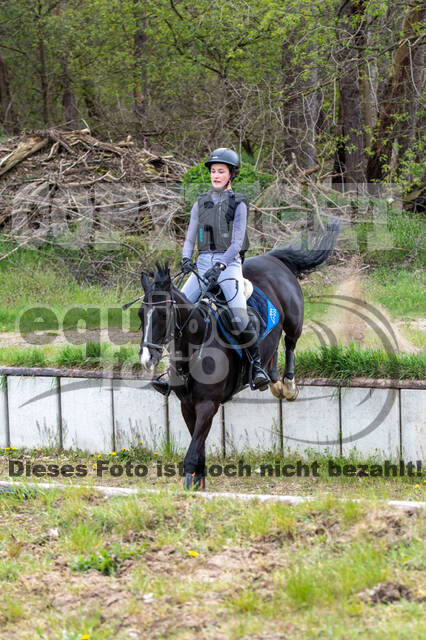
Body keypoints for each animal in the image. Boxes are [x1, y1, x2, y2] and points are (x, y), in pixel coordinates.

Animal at [138, 221, 342, 490]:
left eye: (163, 315)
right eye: (141, 314)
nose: (146, 358)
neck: (195, 347)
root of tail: (271, 258)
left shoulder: (208, 405)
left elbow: (193, 451)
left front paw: (191, 483)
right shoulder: (187, 405)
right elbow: (198, 446)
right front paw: (199, 480)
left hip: (294, 320)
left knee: (290, 343)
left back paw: (287, 385)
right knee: (271, 350)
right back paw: (268, 378)